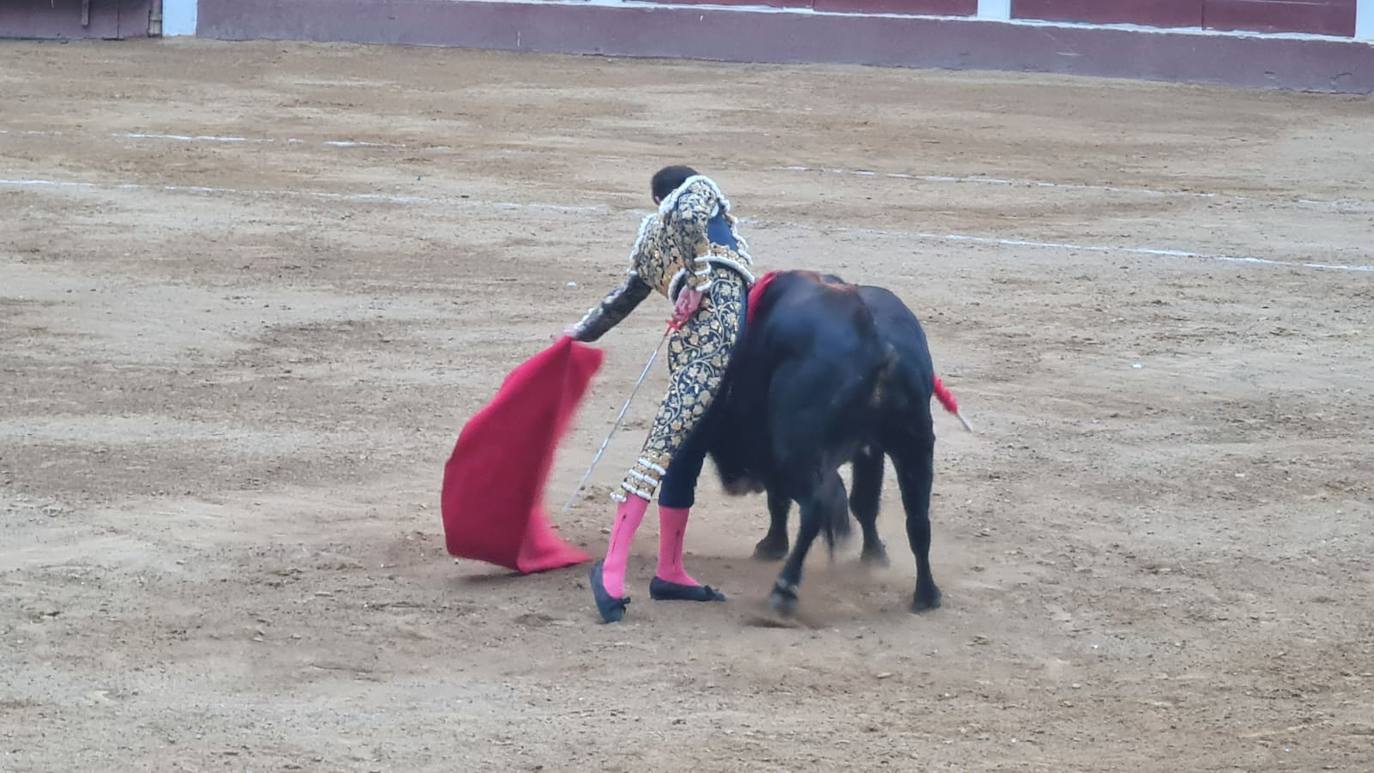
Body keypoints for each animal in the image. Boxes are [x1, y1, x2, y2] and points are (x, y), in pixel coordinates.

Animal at [697, 270, 945, 617]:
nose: (736, 482)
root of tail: (872, 336)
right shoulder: (871, 450)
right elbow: (864, 503)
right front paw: (874, 555)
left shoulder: (776, 450)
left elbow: (781, 499)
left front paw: (771, 546)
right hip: (915, 442)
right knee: (918, 518)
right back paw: (927, 595)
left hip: (798, 449)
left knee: (813, 509)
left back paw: (784, 589)